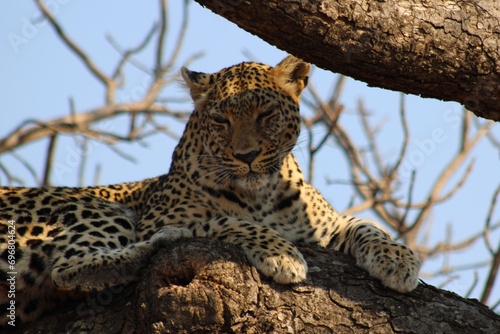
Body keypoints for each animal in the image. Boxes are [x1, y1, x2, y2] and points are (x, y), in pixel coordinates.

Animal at [0, 55, 422, 326]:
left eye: (265, 115)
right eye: (221, 120)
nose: (246, 155)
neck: (260, 193)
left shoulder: (325, 226)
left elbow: (366, 225)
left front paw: (398, 259)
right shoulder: (159, 216)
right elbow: (227, 221)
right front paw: (281, 253)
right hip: (92, 208)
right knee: (69, 268)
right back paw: (167, 241)